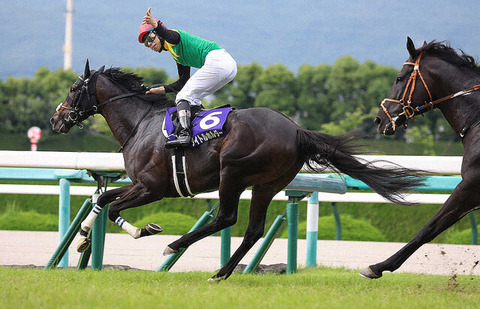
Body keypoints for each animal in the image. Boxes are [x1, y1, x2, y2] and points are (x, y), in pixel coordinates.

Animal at [50, 59, 422, 280]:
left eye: (73, 89)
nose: (55, 119)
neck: (142, 124)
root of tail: (296, 130)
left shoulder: (152, 187)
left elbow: (114, 208)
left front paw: (146, 230)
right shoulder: (139, 184)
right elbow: (103, 199)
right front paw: (82, 238)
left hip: (232, 173)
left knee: (226, 218)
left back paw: (177, 246)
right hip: (267, 184)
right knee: (253, 229)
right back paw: (222, 272)